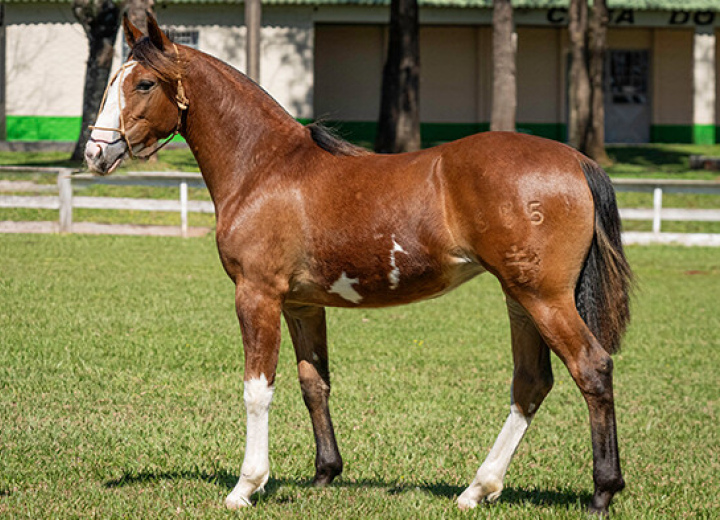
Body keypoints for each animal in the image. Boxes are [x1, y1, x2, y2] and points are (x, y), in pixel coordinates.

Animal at [86, 14, 632, 512]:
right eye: (114, 80)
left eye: (144, 83)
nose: (95, 152)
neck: (266, 166)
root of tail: (576, 160)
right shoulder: (301, 305)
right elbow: (314, 384)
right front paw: (324, 474)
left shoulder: (256, 294)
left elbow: (257, 389)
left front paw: (247, 485)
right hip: (519, 298)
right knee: (531, 383)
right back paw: (478, 489)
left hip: (544, 298)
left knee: (591, 367)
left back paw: (602, 491)